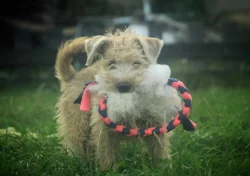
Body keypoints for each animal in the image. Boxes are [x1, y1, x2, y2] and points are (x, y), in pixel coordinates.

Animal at [54, 28, 182, 170]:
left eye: (137, 63)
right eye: (112, 63)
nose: (123, 86)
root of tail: (72, 76)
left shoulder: (156, 125)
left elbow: (159, 150)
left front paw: (162, 167)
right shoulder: (104, 130)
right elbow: (107, 153)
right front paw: (109, 170)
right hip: (78, 123)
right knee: (76, 145)